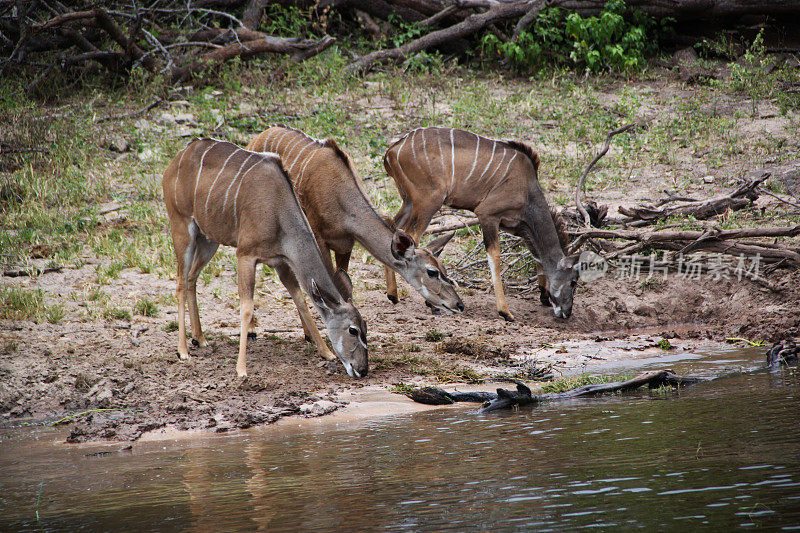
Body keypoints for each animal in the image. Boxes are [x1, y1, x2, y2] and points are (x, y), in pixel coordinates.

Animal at [162, 138, 368, 378]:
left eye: (365, 327)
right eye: (353, 330)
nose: (363, 369)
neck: (278, 210)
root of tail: (176, 160)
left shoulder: (281, 261)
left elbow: (300, 299)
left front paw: (326, 352)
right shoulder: (245, 255)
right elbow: (247, 307)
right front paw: (241, 369)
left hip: (208, 239)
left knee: (192, 277)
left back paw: (200, 338)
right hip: (181, 226)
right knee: (180, 282)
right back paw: (183, 350)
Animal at [247, 124, 466, 316]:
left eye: (444, 268)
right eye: (431, 272)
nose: (459, 304)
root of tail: (256, 138)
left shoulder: (346, 245)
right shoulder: (319, 240)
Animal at [384, 127, 580, 322]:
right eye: (573, 281)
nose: (567, 312)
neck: (528, 189)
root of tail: (392, 150)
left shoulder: (518, 227)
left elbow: (535, 254)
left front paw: (543, 296)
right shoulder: (487, 214)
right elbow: (495, 257)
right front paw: (505, 312)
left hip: (409, 202)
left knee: (392, 226)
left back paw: (393, 295)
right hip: (428, 202)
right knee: (410, 237)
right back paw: (430, 305)